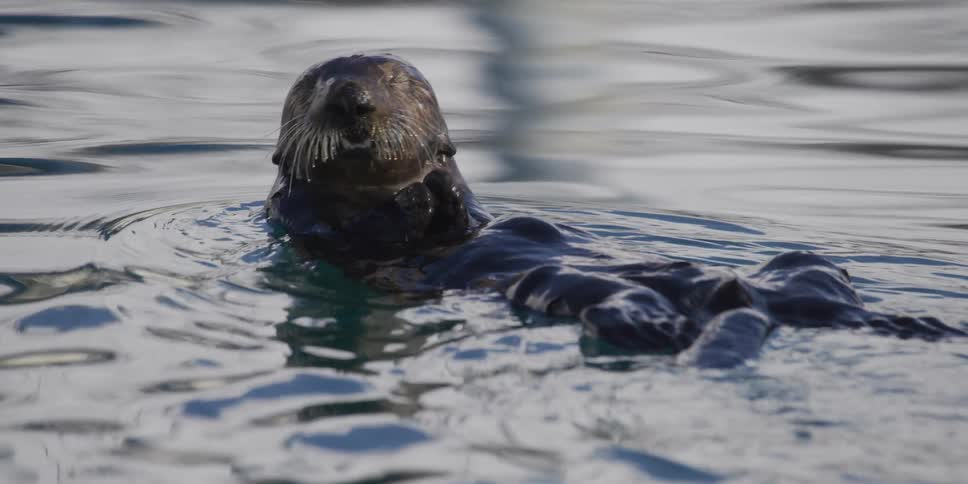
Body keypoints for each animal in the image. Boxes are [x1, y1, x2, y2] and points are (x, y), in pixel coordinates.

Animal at [267, 54, 965, 368]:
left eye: (398, 82)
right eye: (313, 85)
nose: (352, 98)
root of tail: (753, 301)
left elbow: (463, 211)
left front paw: (441, 184)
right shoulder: (308, 225)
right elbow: (357, 229)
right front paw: (415, 196)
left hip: (801, 269)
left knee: (824, 285)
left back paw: (910, 320)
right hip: (596, 301)